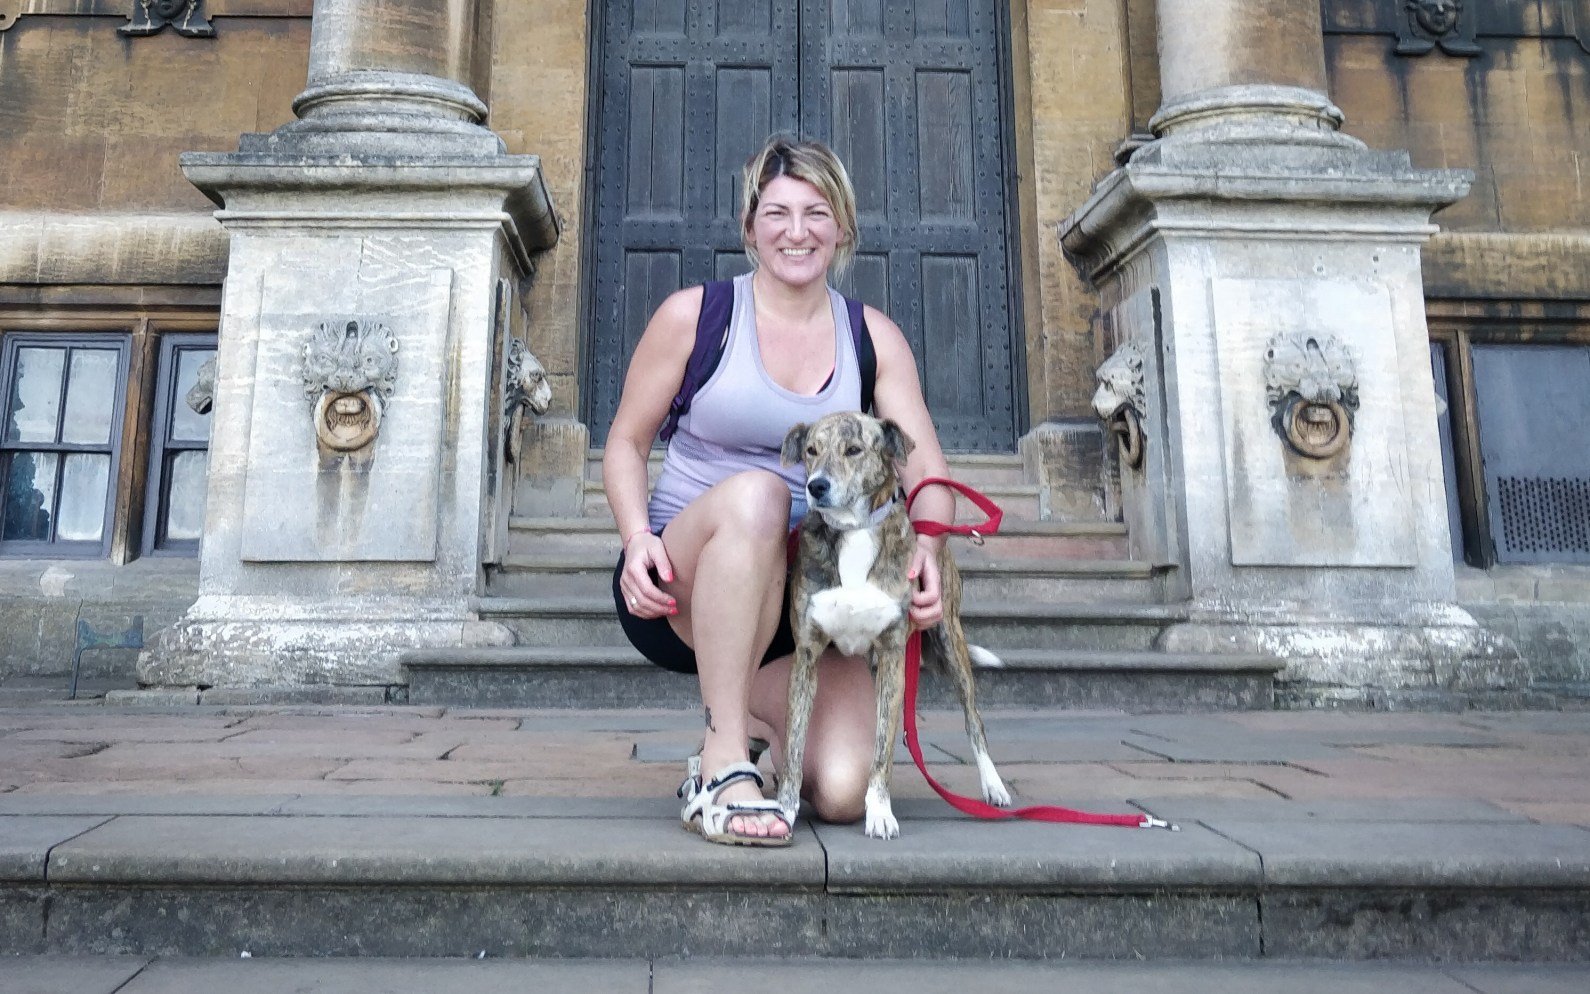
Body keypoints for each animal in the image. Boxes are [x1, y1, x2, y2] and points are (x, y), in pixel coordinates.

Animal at [779, 410, 1011, 839]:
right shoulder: (806, 656)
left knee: (974, 721)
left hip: (950, 642)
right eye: (811, 450)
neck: (853, 530)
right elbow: (794, 745)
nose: (816, 486)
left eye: (854, 450)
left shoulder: (892, 656)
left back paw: (994, 786)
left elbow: (883, 749)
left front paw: (880, 812)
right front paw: (783, 810)